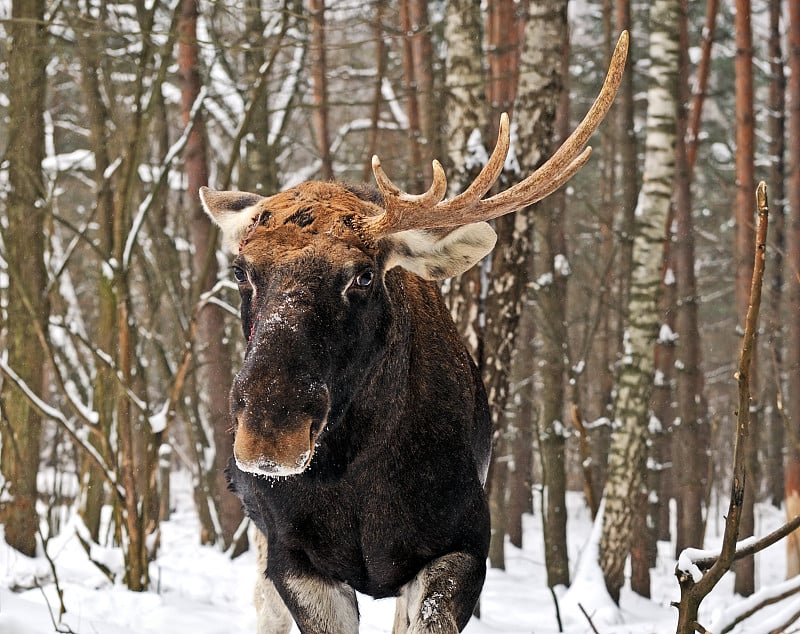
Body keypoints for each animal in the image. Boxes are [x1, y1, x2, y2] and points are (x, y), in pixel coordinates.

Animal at [198, 30, 624, 632]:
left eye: (363, 274)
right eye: (240, 271)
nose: (270, 430)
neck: (356, 477)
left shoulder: (461, 545)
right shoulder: (292, 558)